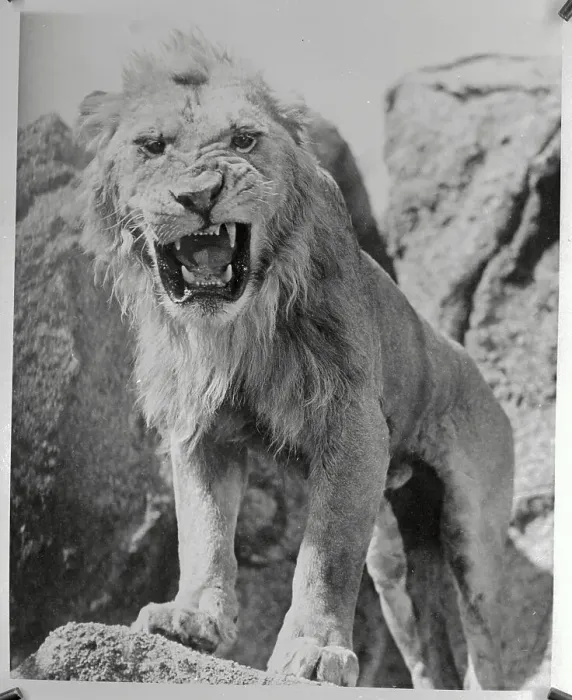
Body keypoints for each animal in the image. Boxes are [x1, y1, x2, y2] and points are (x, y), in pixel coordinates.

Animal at [77, 32, 514, 689]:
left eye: (243, 140)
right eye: (151, 146)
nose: (200, 195)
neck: (235, 326)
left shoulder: (351, 422)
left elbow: (325, 555)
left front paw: (313, 649)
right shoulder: (201, 429)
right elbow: (202, 532)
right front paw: (191, 618)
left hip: (473, 533)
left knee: (486, 645)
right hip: (395, 562)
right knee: (428, 652)